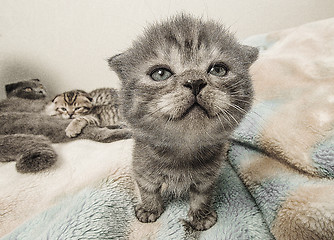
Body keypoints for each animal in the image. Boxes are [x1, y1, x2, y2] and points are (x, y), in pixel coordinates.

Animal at [109, 14, 258, 231]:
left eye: (218, 70)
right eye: (160, 74)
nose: (195, 81)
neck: (182, 151)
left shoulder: (208, 177)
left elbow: (202, 196)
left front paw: (201, 217)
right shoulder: (142, 166)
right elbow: (147, 189)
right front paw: (149, 209)